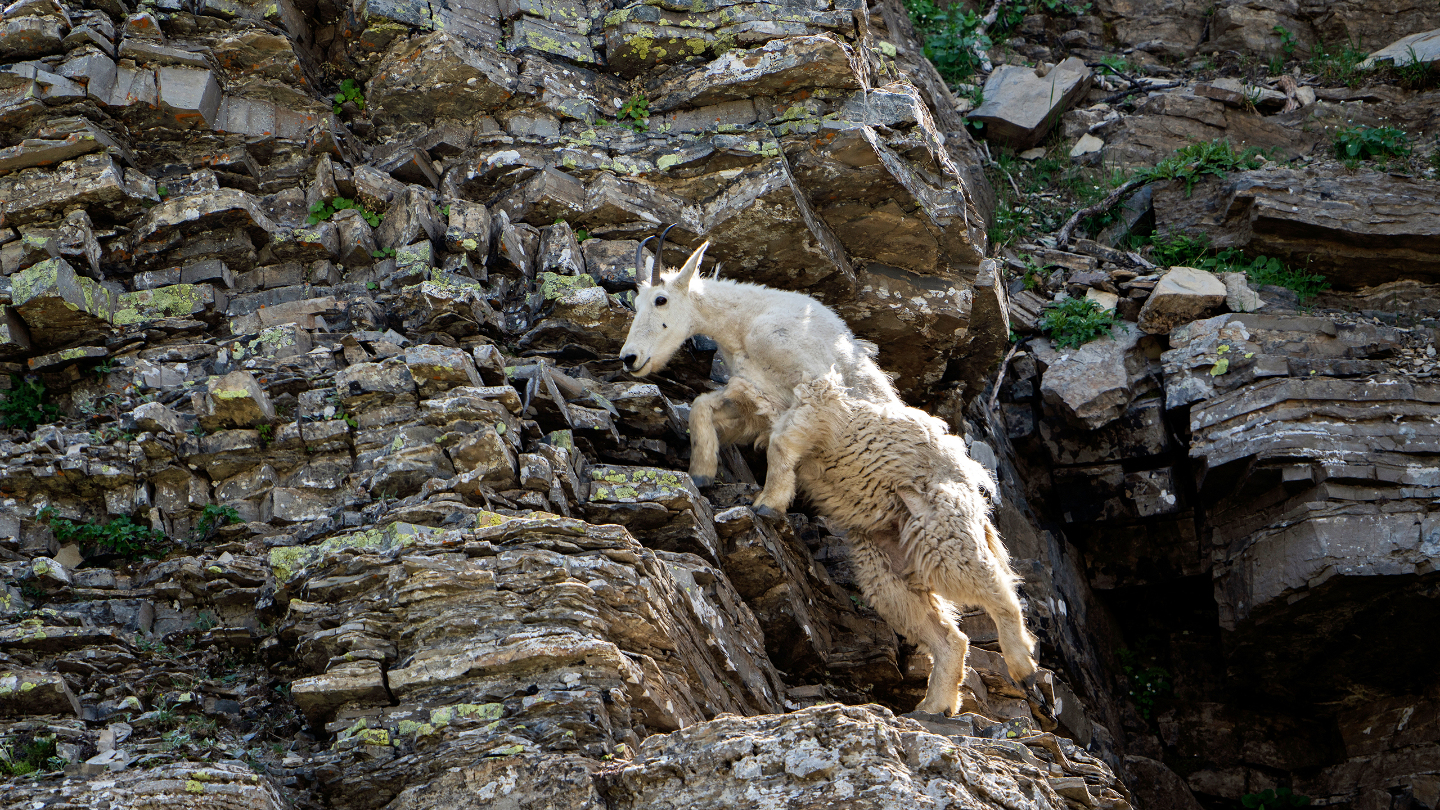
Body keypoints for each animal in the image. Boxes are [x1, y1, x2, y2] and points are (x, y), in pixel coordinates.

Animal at [618, 234, 900, 487]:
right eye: (636, 302)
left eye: (661, 300)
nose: (629, 358)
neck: (743, 322)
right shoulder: (758, 394)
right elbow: (702, 408)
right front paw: (702, 473)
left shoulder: (816, 381)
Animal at [730, 373, 1039, 716]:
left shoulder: (817, 398)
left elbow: (784, 438)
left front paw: (766, 503)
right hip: (885, 560)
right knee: (940, 630)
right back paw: (935, 703)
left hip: (937, 527)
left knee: (992, 586)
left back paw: (1022, 665)